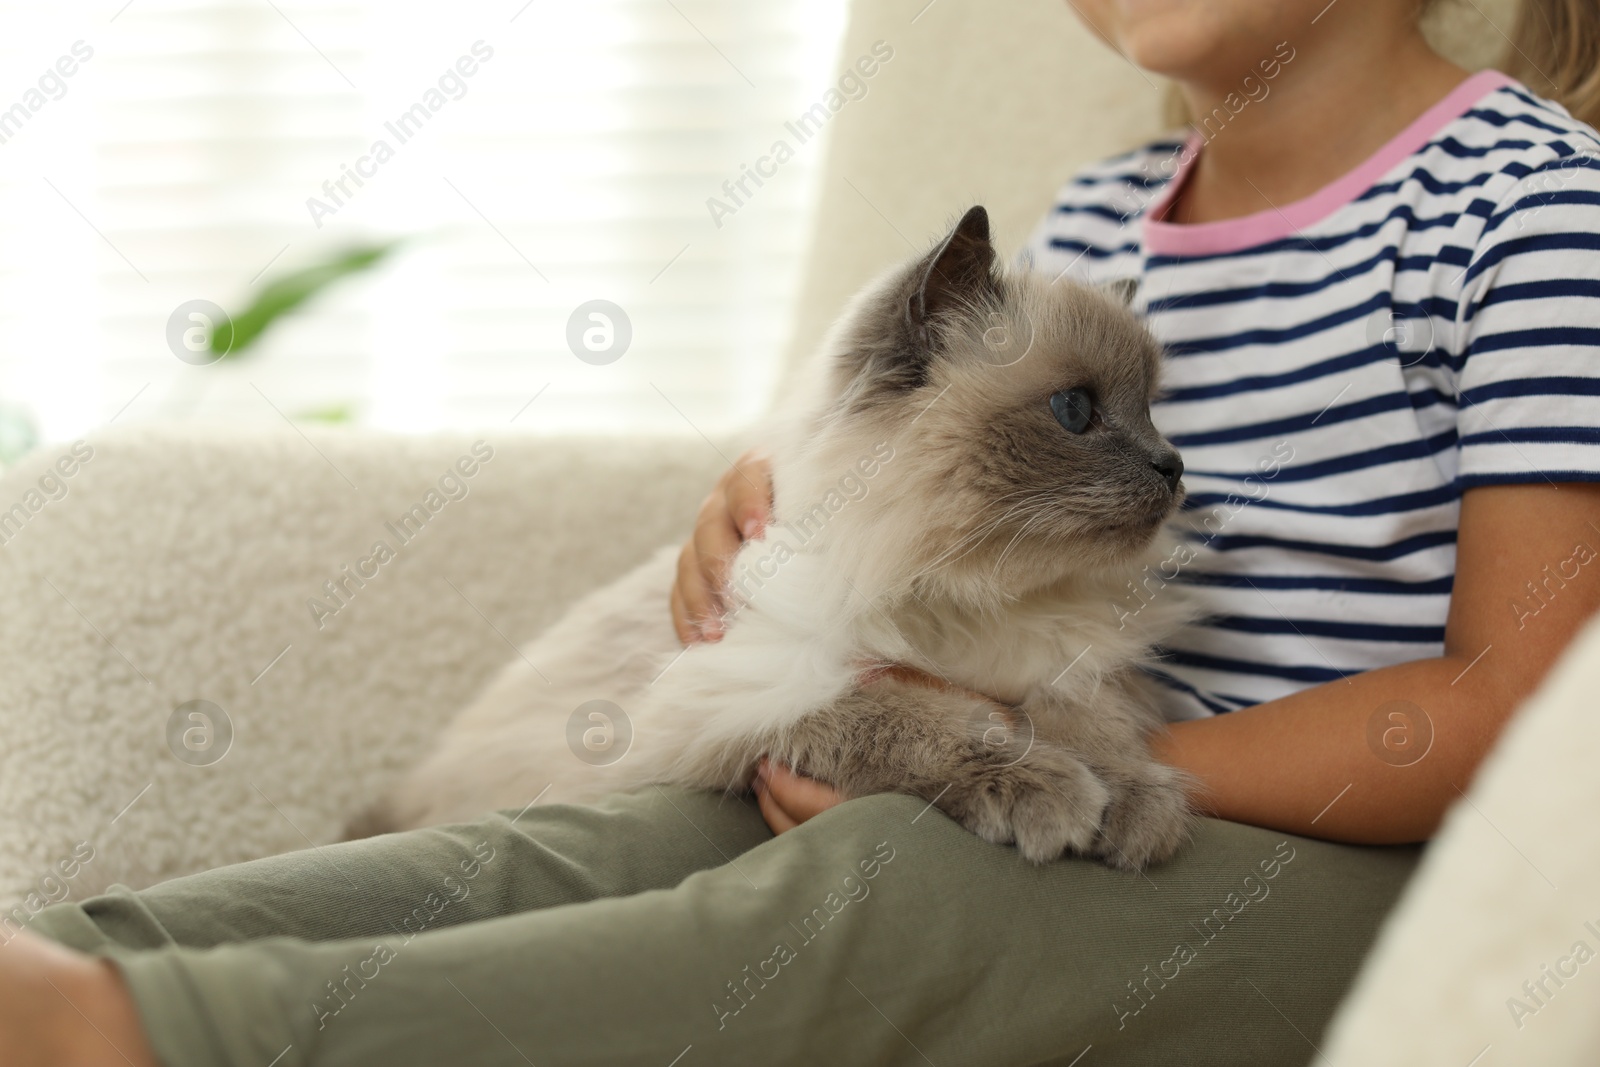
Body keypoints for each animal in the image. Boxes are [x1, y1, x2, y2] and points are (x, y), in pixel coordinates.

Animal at [353, 206, 1203, 870]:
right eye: (1074, 410)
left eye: (1153, 408)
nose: (1175, 466)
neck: (971, 594)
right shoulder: (757, 697)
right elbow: (942, 724)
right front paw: (1054, 794)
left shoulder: (1071, 668)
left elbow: (1090, 727)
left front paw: (1135, 808)